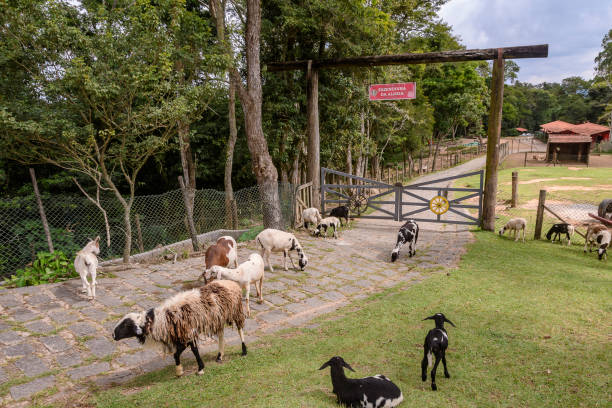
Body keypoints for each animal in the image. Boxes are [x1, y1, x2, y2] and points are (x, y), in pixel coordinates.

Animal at [113, 278, 247, 378]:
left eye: (126, 325)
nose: (113, 335)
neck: (162, 320)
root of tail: (230, 282)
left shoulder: (187, 333)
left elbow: (190, 351)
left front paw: (199, 369)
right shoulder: (183, 336)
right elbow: (178, 354)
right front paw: (179, 371)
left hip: (236, 310)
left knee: (240, 329)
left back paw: (244, 351)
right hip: (219, 317)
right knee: (221, 335)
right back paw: (220, 356)